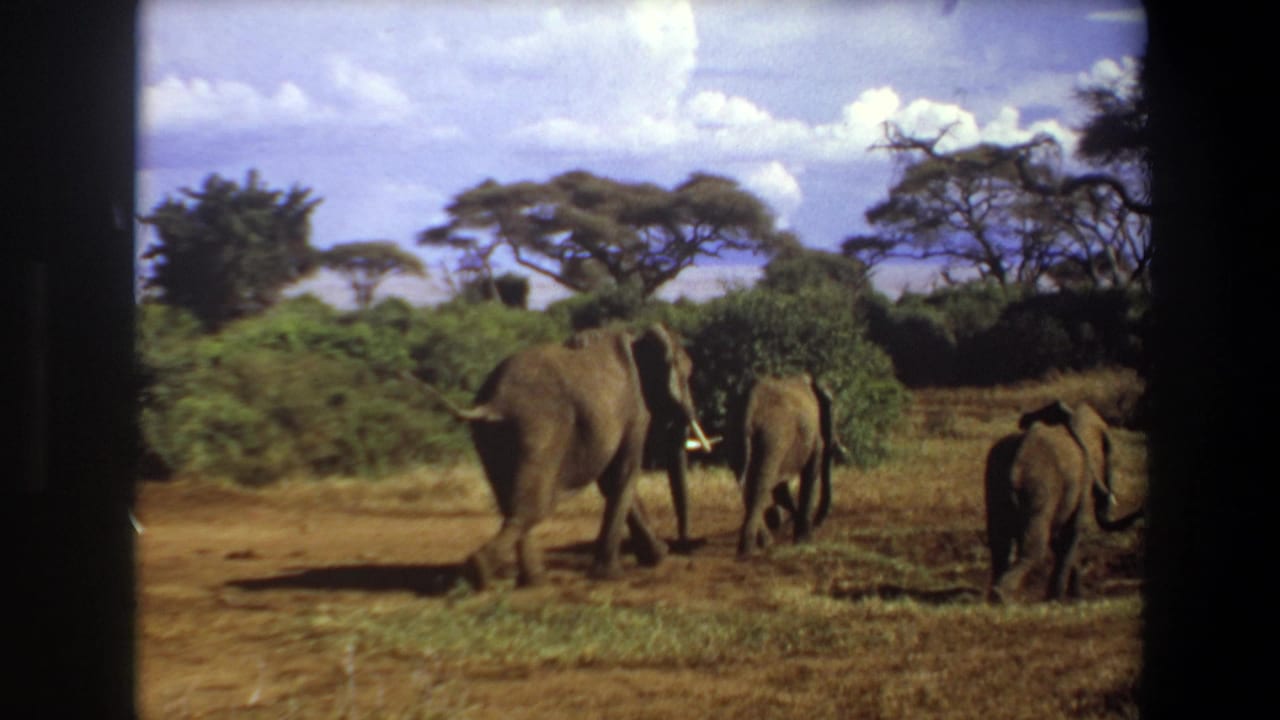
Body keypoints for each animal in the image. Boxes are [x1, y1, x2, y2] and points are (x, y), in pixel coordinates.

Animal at [409, 324, 711, 590]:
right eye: (687, 376)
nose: (681, 546)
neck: (637, 337)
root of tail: (493, 403)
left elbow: (611, 481)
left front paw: (657, 557)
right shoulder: (635, 411)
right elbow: (623, 475)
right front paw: (612, 575)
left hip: (490, 437)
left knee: (512, 504)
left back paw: (532, 581)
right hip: (540, 428)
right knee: (532, 508)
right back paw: (481, 573)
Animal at [729, 374, 835, 558]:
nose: (818, 524)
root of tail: (749, 405)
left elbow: (781, 490)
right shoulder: (815, 438)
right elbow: (810, 474)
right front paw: (804, 541)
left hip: (736, 435)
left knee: (748, 484)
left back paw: (760, 544)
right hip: (774, 438)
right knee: (761, 485)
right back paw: (750, 550)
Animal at [984, 399, 1144, 603]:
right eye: (1109, 456)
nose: (1142, 508)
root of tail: (1014, 465)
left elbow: (1059, 539)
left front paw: (1075, 595)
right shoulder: (1083, 476)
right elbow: (1071, 532)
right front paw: (1061, 599)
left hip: (995, 482)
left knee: (999, 543)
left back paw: (996, 595)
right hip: (1039, 487)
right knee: (1034, 547)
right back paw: (1002, 596)